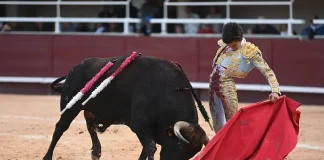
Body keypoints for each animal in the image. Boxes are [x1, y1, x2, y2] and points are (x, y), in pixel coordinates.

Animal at [43, 55, 210, 160]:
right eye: (179, 146)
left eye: (190, 154)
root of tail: (75, 68)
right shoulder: (140, 124)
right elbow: (151, 147)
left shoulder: (150, 129)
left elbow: (146, 148)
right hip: (70, 106)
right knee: (60, 129)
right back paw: (47, 156)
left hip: (91, 109)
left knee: (90, 125)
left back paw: (96, 153)